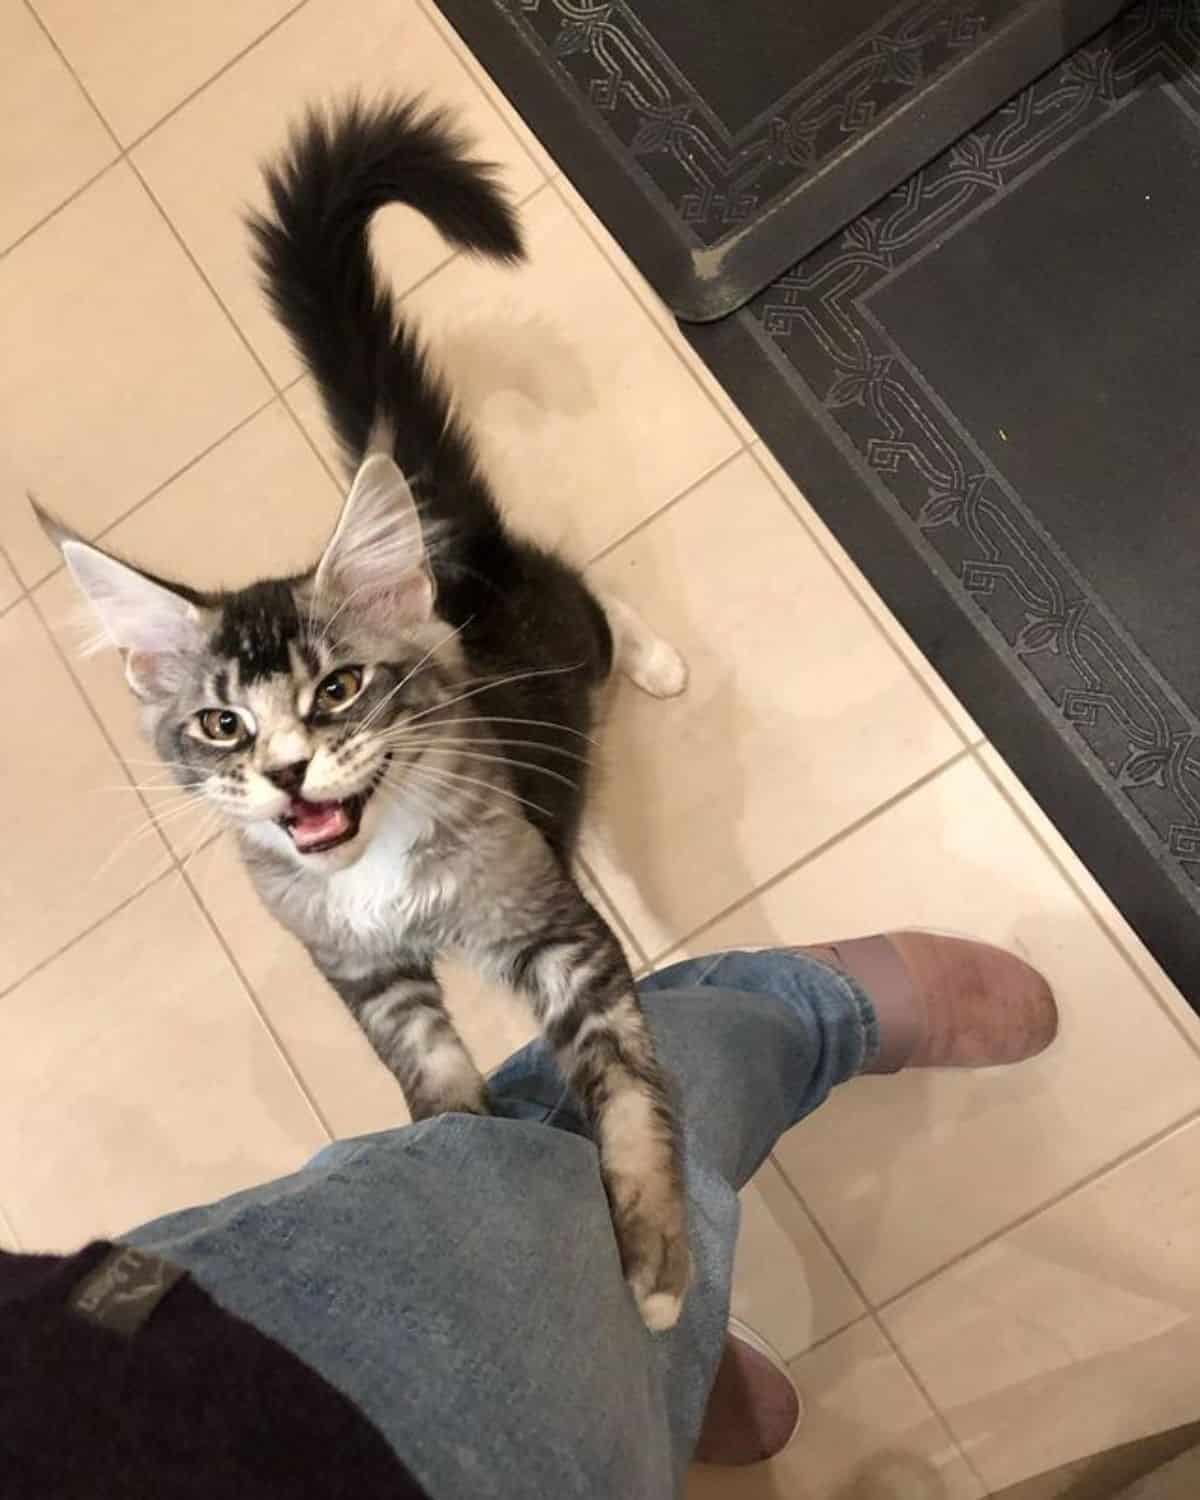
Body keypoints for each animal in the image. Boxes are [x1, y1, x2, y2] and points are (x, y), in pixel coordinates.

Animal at [39, 96, 693, 1326]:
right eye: (223, 727)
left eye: (336, 690)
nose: (289, 773)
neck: (375, 865)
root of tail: (458, 553)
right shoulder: (366, 977)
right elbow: (430, 1080)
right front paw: (474, 1152)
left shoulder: (551, 935)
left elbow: (628, 1085)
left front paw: (654, 1262)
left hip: (565, 631)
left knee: (602, 609)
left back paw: (663, 663)